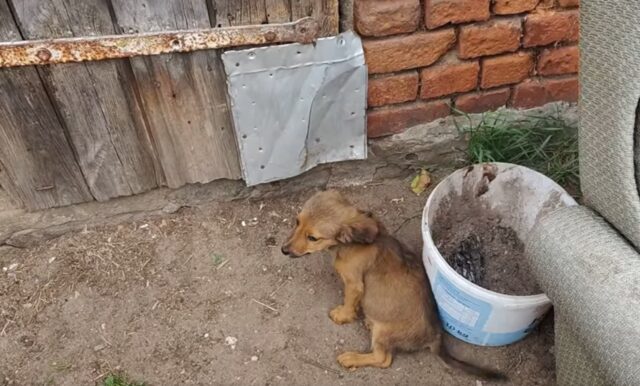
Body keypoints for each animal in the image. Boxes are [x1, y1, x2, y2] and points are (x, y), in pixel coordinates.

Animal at [280, 188, 504, 378]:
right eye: (297, 222)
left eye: (312, 237)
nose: (284, 250)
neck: (352, 243)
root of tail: (434, 337)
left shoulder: (353, 284)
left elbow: (349, 303)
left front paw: (342, 315)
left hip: (383, 332)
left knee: (383, 359)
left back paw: (351, 358)